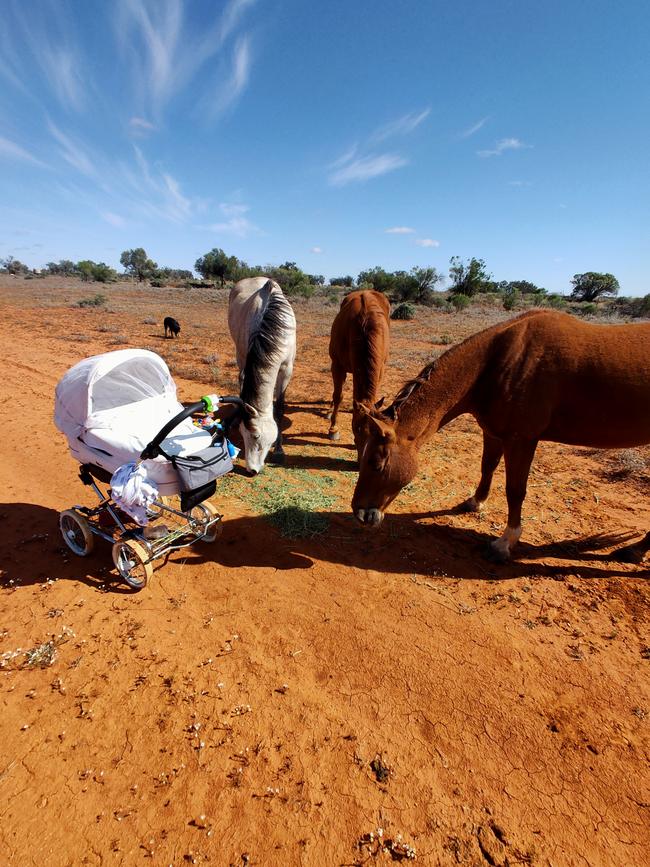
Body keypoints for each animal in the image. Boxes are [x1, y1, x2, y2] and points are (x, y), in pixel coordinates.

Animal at [228, 278, 296, 474]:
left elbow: (279, 409)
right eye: (243, 434)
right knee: (241, 378)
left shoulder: (286, 369)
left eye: (256, 436)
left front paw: (279, 451)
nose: (251, 470)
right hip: (240, 354)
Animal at [326, 292, 388, 454]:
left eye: (377, 433)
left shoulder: (380, 369)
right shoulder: (337, 365)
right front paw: (333, 429)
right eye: (357, 429)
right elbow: (338, 396)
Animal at [352, 310, 648, 564]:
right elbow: (487, 468)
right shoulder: (493, 433)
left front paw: (505, 543)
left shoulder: (521, 440)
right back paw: (633, 551)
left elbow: (515, 490)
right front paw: (475, 502)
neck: (500, 362)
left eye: (375, 463)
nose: (360, 513)